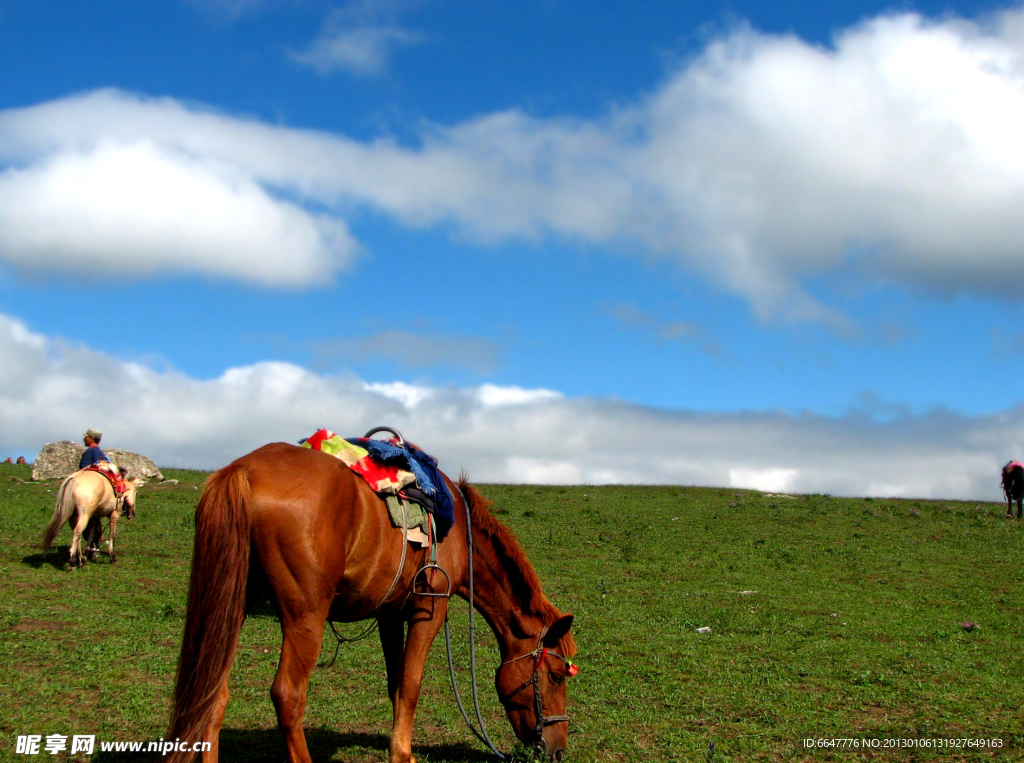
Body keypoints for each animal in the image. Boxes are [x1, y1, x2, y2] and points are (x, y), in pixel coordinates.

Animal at [167, 440, 577, 761]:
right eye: (556, 676)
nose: (558, 749)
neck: (460, 529)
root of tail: (244, 471)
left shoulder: (390, 615)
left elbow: (395, 683)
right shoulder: (430, 608)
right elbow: (411, 684)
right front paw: (403, 753)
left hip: (233, 604)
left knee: (213, 694)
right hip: (305, 616)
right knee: (287, 695)